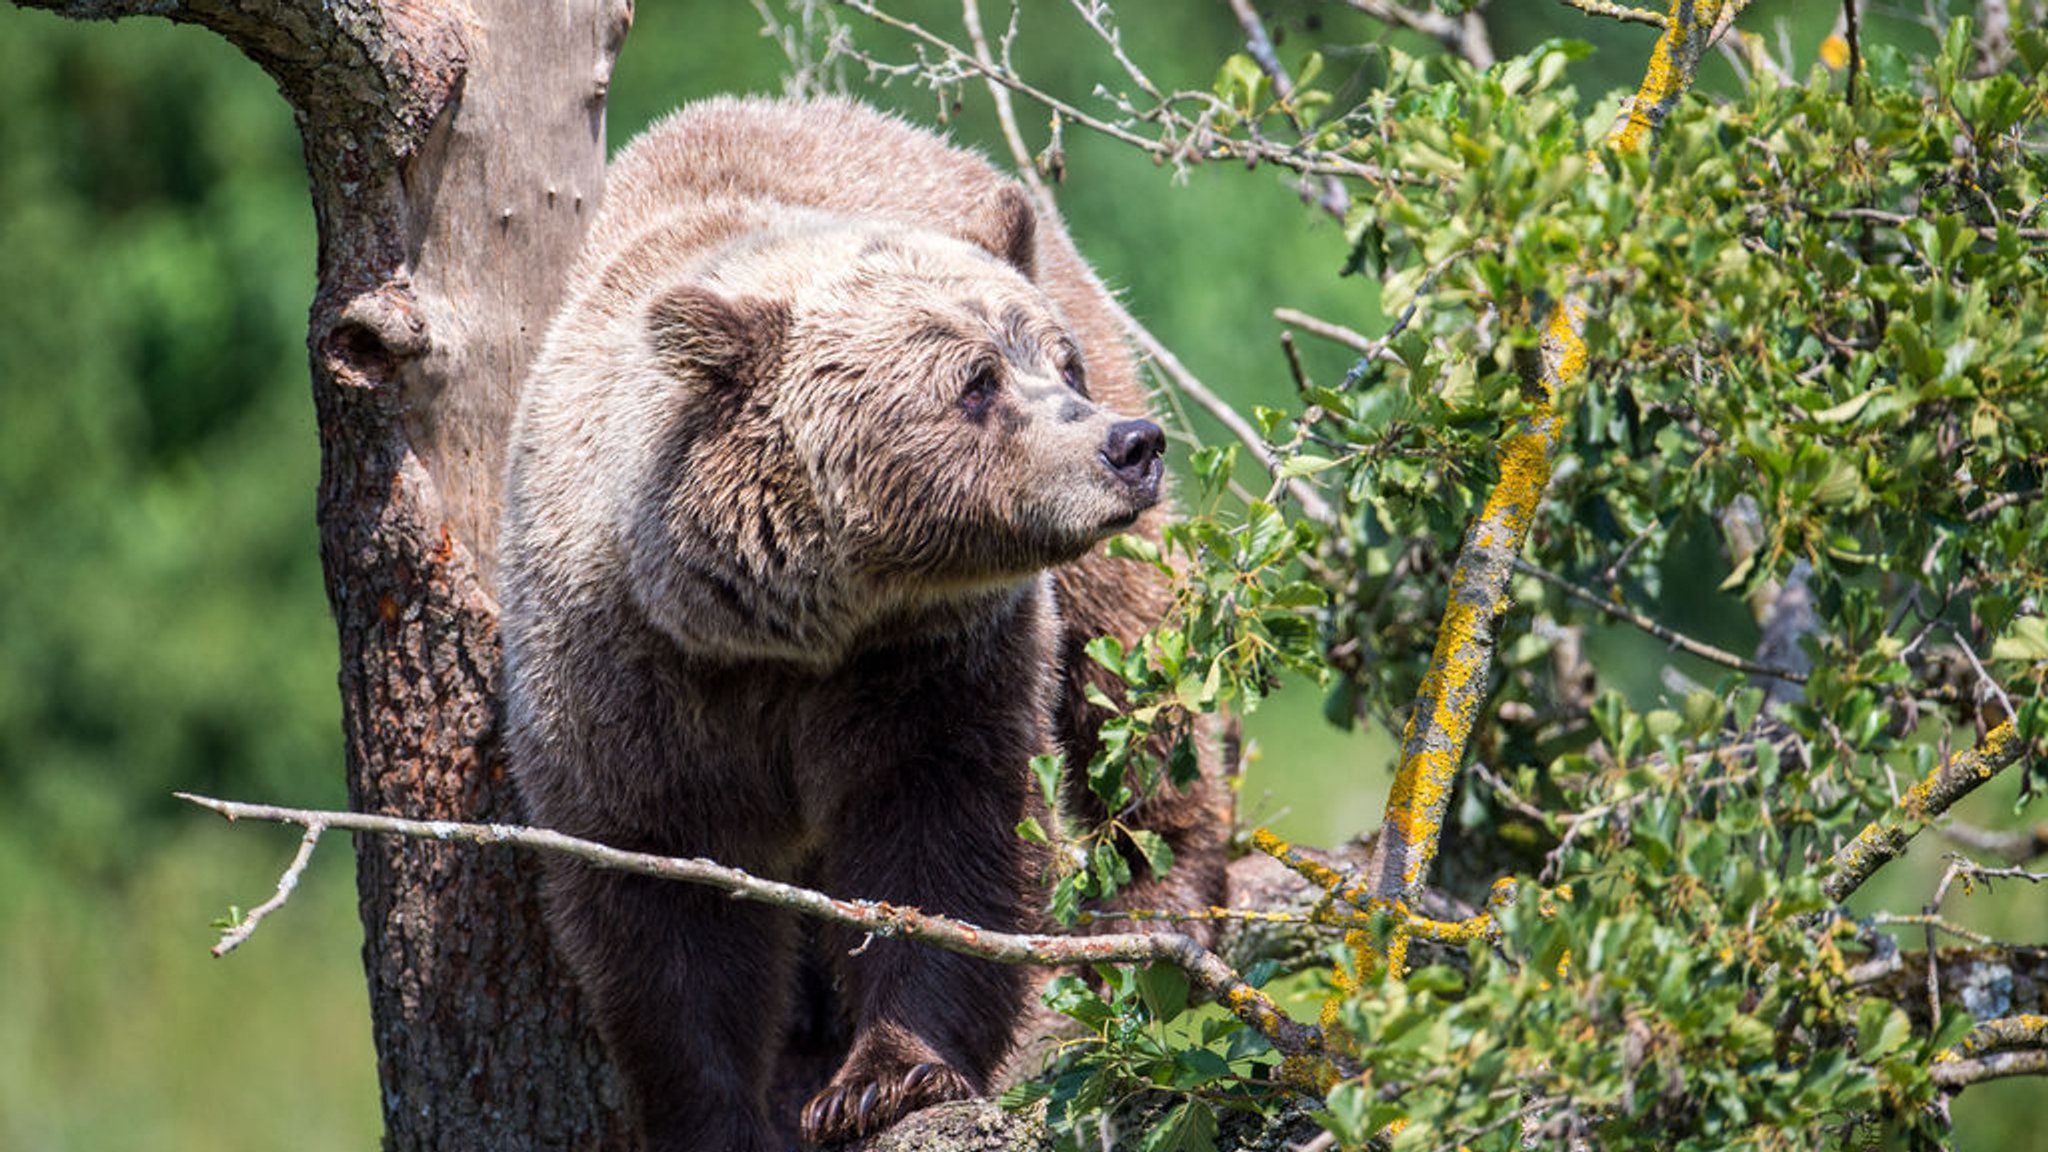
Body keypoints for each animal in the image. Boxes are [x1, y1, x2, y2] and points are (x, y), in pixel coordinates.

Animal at [501, 100, 1220, 1147]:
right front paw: (725, 1113)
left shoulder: (930, 659)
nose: (1129, 445)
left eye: (1060, 362)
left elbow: (947, 837)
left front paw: (889, 1074)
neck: (791, 624)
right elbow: (664, 905)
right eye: (975, 381)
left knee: (1131, 676)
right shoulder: (628, 681)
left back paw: (1164, 902)